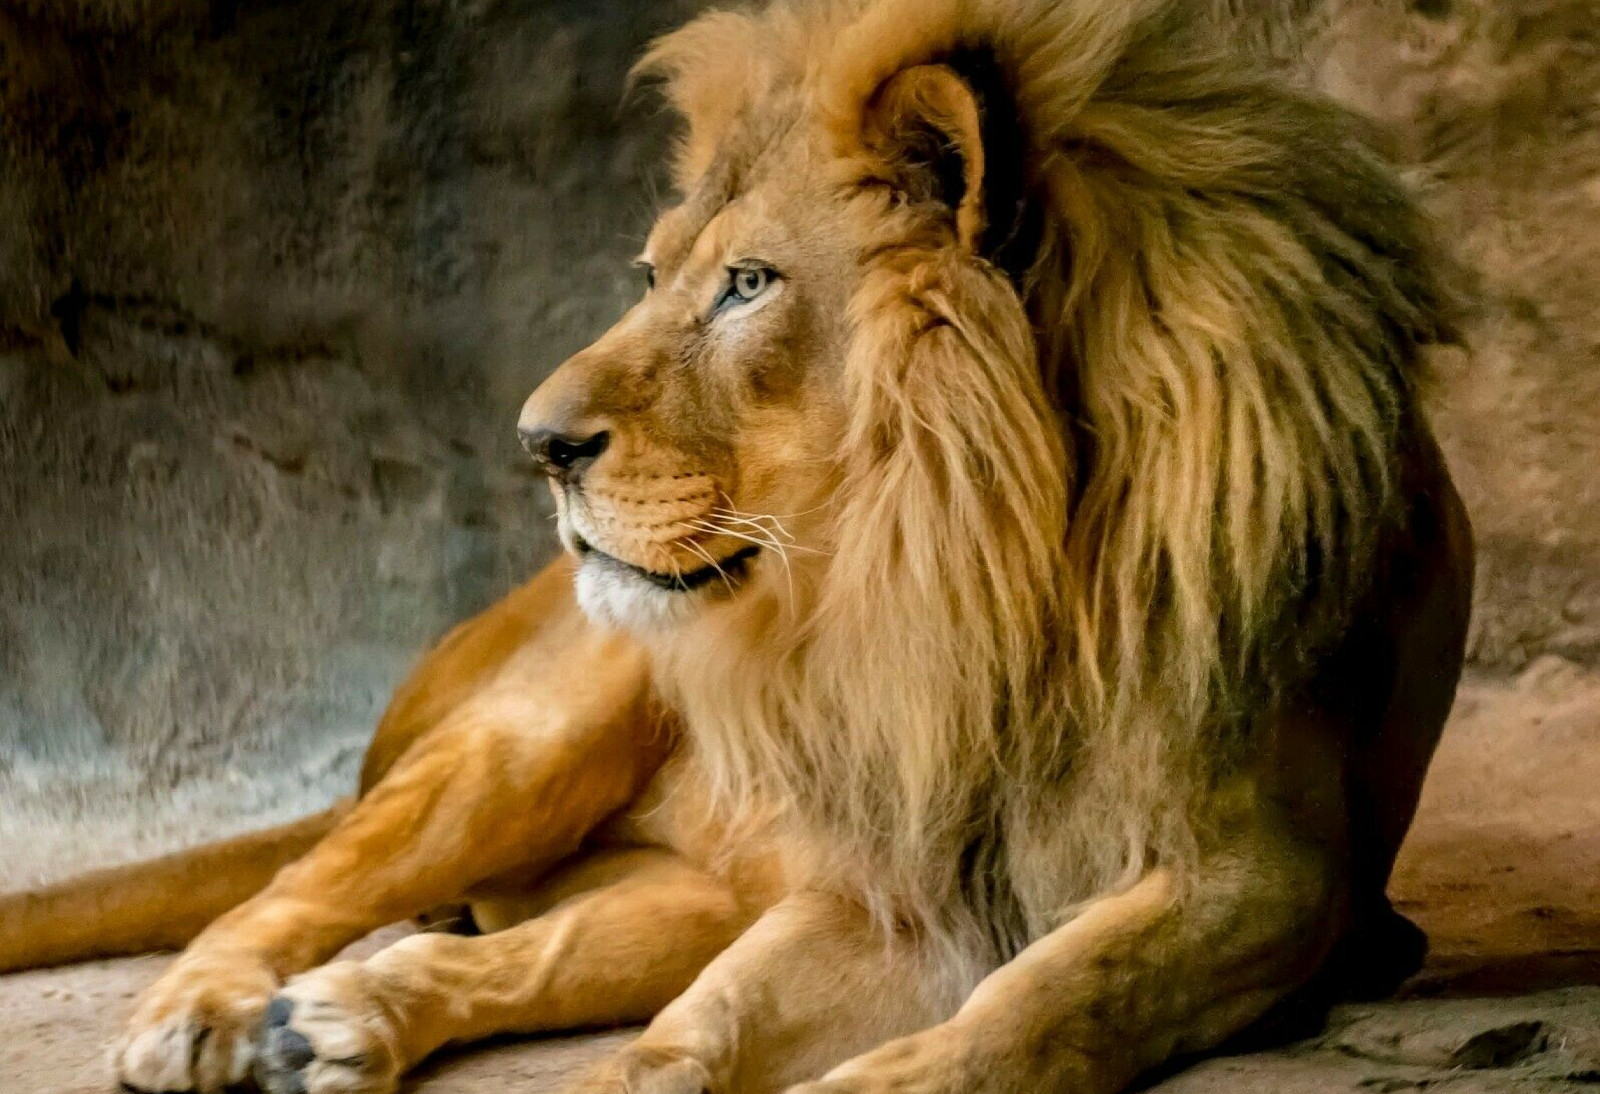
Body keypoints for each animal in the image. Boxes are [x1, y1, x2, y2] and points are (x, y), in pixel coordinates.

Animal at [0, 1, 1474, 1093]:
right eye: (655, 277)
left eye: (749, 285)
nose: (536, 442)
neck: (973, 583)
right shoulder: (893, 887)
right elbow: (695, 1035)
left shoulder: (1267, 869)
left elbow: (1049, 997)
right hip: (529, 738)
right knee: (287, 883)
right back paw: (205, 1012)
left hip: (678, 890)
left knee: (521, 945)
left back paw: (335, 1023)